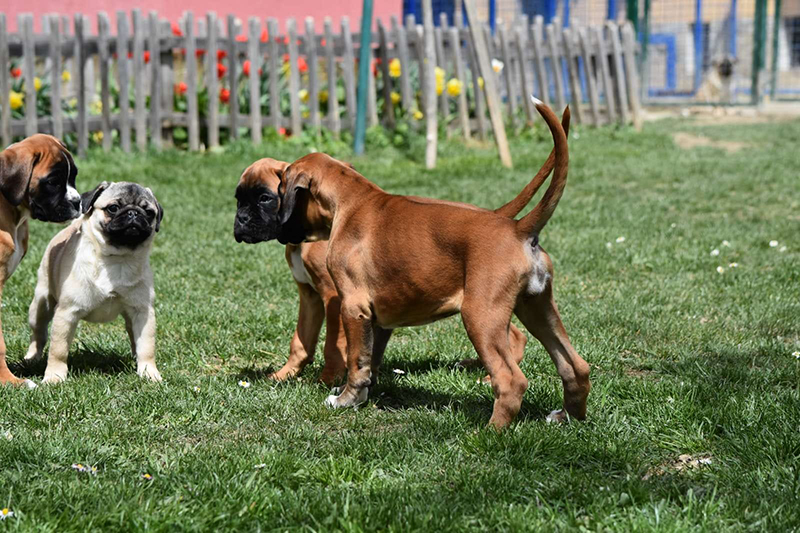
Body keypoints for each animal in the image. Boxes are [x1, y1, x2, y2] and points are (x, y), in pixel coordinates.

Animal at [24, 182, 163, 384]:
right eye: (113, 208)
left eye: (149, 212)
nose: (134, 213)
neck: (117, 258)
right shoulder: (66, 313)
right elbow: (58, 349)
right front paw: (54, 377)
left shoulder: (142, 312)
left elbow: (146, 346)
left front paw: (149, 373)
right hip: (41, 304)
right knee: (39, 333)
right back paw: (32, 357)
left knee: (133, 335)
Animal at [276, 98, 589, 429]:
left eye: (281, 189)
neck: (351, 200)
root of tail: (518, 229)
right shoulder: (379, 320)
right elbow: (371, 360)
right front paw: (362, 396)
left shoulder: (353, 308)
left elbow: (356, 360)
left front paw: (345, 399)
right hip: (538, 308)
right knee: (575, 366)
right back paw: (567, 416)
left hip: (482, 317)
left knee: (511, 379)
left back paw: (489, 432)